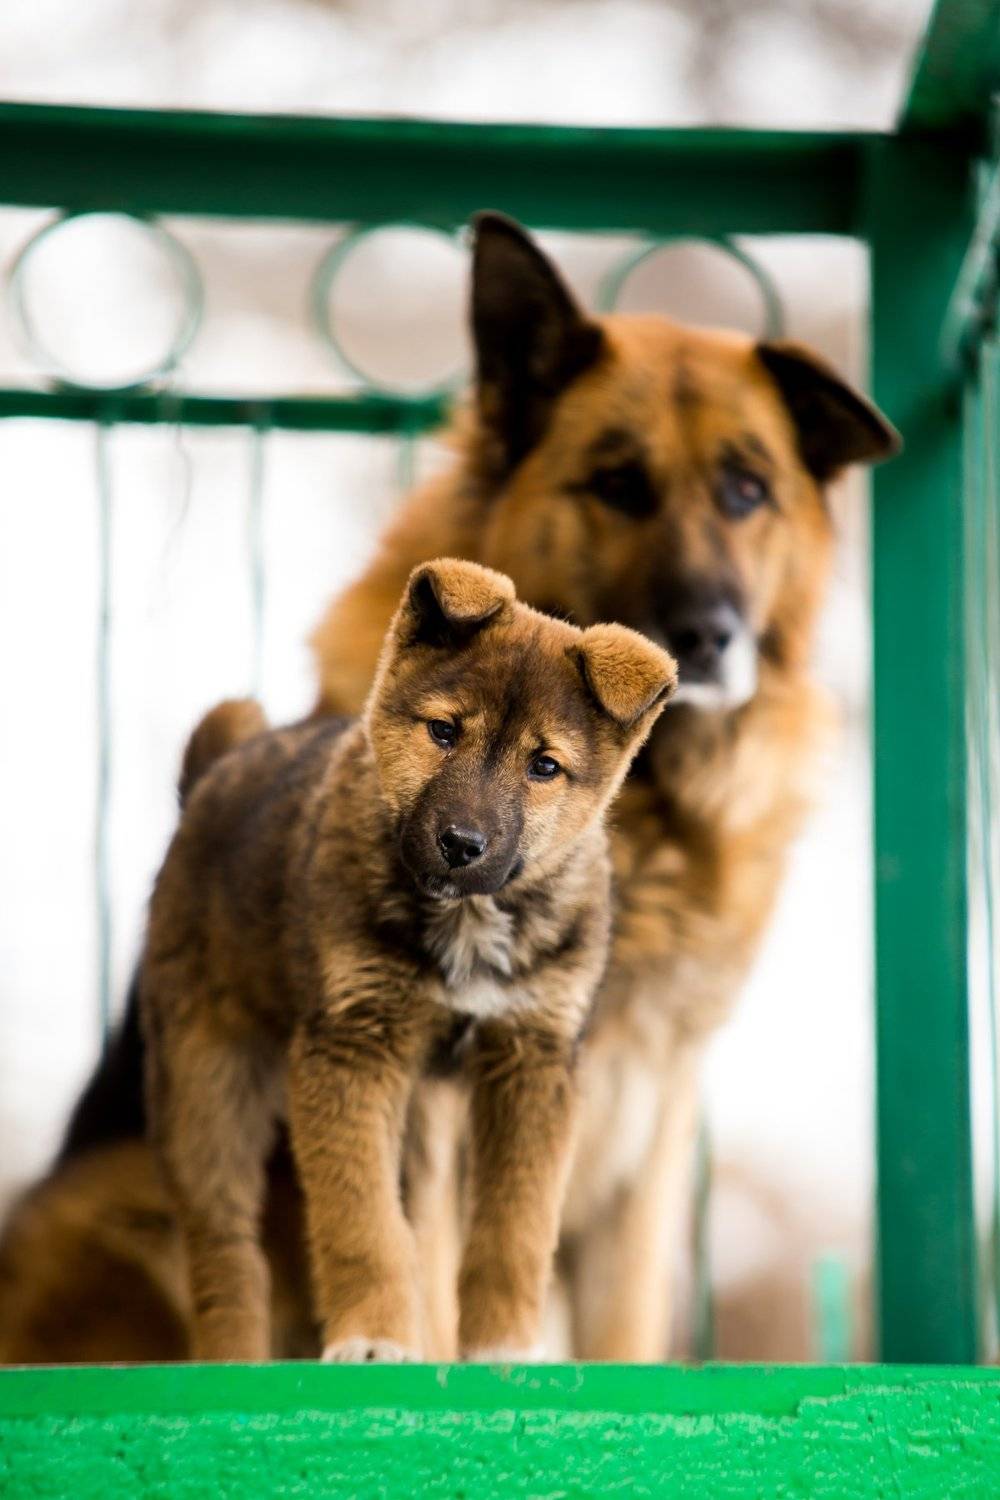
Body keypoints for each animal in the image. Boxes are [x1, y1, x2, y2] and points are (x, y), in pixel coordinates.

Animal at [141, 558, 675, 1361]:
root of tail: (212, 776)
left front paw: (503, 1347)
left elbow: (516, 1225)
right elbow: (360, 1221)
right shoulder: (351, 1049)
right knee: (223, 1246)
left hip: (421, 1116)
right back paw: (232, 1358)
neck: (467, 918)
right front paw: (370, 1336)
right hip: (207, 1082)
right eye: (443, 732)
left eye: (545, 765)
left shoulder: (533, 1057)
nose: (461, 844)